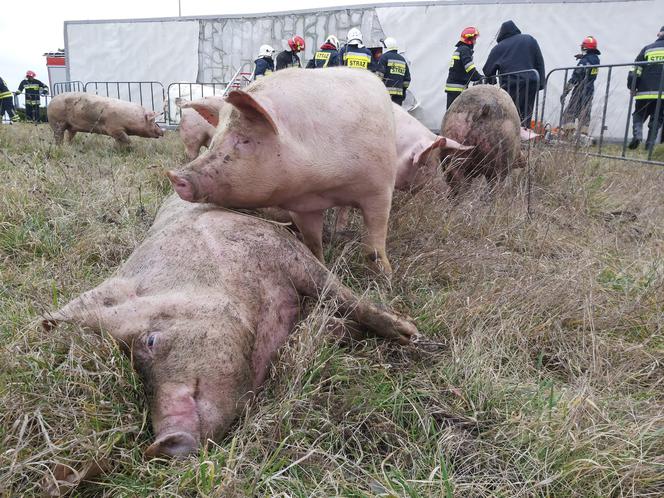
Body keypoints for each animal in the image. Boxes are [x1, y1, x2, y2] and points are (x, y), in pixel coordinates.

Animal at [42, 195, 416, 460]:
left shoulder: (275, 244)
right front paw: (344, 333)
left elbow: (339, 292)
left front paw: (409, 333)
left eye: (149, 341)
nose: (158, 446)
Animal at [167, 66, 400, 274]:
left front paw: (385, 277)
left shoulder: (380, 187)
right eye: (215, 139)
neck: (325, 182)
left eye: (245, 139)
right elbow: (313, 242)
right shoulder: (303, 206)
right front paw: (322, 265)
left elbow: (375, 241)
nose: (176, 176)